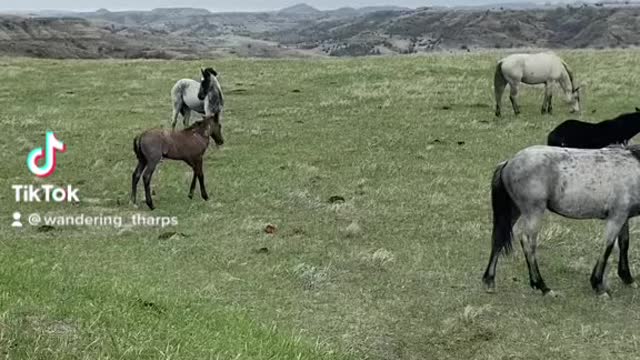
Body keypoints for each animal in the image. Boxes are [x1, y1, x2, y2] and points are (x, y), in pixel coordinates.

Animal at [482, 145, 640, 296]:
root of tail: (509, 162)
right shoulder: (616, 217)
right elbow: (608, 247)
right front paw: (599, 286)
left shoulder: (623, 217)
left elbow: (624, 244)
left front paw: (628, 278)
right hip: (533, 212)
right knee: (527, 242)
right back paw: (542, 287)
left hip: (515, 210)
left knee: (498, 239)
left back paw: (489, 281)